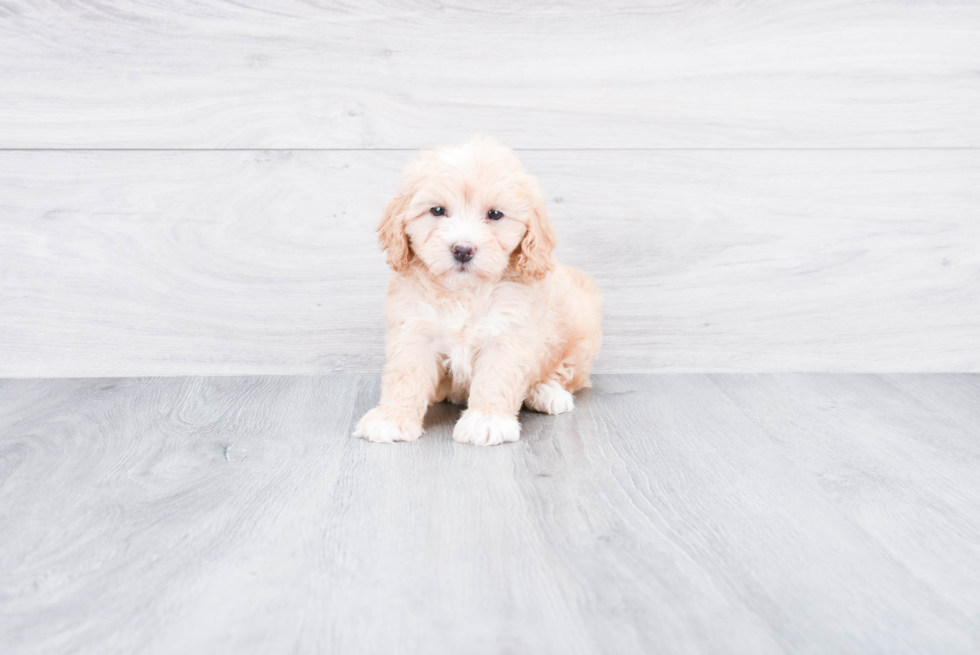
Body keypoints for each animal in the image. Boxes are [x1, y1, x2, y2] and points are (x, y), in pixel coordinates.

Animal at [348, 137, 600, 446]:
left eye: (494, 214)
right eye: (437, 210)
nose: (462, 249)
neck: (463, 292)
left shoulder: (508, 331)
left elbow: (495, 378)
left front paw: (486, 420)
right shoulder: (414, 328)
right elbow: (406, 374)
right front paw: (391, 419)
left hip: (581, 327)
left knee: (566, 372)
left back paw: (547, 392)